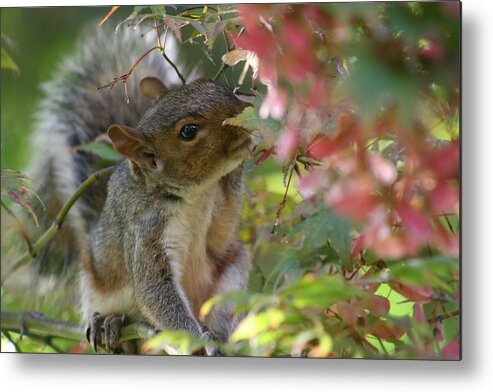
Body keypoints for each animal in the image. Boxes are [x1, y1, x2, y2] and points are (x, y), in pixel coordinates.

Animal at [28, 26, 252, 354]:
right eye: (188, 131)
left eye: (214, 85)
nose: (246, 112)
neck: (195, 196)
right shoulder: (145, 231)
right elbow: (153, 289)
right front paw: (195, 338)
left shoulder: (216, 221)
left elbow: (219, 239)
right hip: (96, 286)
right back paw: (110, 324)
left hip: (229, 281)